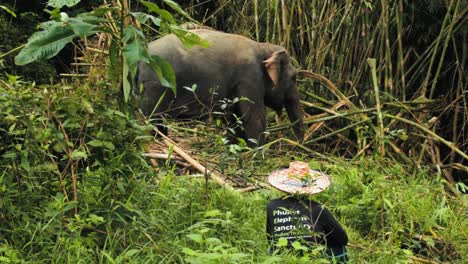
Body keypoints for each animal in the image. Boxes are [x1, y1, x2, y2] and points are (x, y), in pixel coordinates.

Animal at [136, 28, 304, 146]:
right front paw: (257, 153)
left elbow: (235, 117)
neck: (262, 47)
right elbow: (253, 117)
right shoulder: (249, 77)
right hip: (156, 86)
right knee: (153, 118)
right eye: (294, 78)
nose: (298, 145)